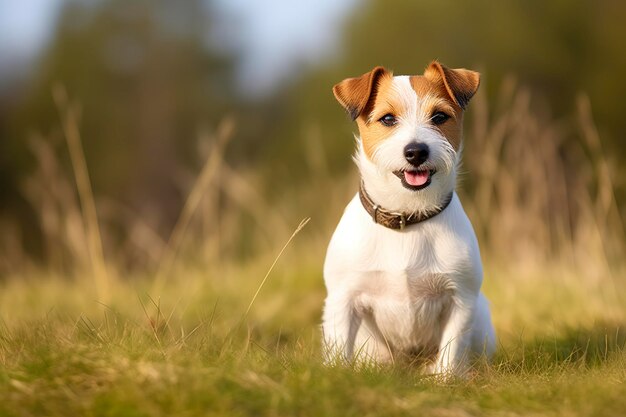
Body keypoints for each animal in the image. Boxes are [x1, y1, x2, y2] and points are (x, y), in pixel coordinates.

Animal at [322, 62, 492, 376]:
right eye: (388, 119)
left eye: (439, 117)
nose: (416, 151)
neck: (407, 216)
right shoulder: (343, 300)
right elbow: (339, 349)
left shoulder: (461, 300)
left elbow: (451, 351)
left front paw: (445, 379)